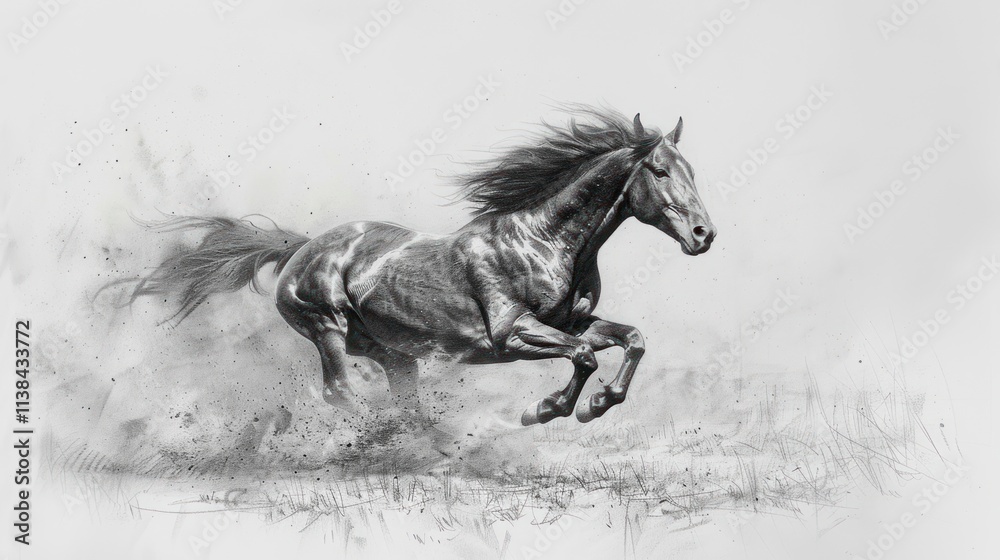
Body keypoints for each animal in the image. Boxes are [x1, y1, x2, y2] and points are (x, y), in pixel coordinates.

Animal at [128, 106, 716, 426]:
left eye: (691, 169)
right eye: (660, 171)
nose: (704, 235)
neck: (543, 240)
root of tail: (302, 249)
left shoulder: (573, 321)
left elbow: (629, 339)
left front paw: (595, 404)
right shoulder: (511, 334)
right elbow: (583, 356)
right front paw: (545, 409)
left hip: (393, 352)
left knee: (402, 397)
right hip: (327, 327)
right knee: (340, 391)